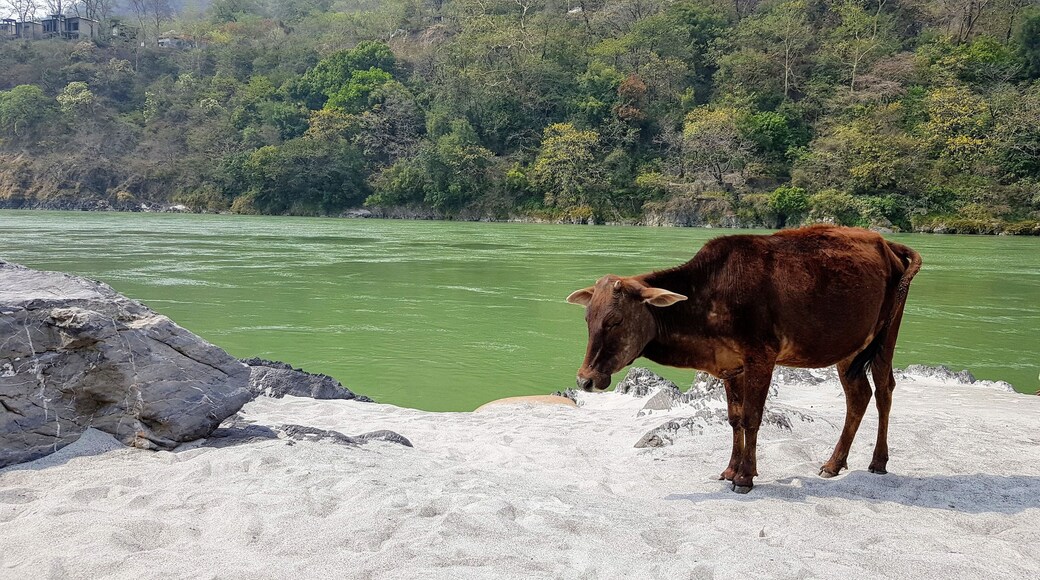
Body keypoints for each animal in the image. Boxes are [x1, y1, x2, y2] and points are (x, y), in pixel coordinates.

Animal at [566, 225, 922, 493]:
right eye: (587, 319)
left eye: (615, 320)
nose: (585, 378)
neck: (707, 301)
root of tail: (888, 244)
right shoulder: (730, 366)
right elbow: (735, 419)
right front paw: (729, 470)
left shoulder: (761, 356)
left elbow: (752, 417)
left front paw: (745, 477)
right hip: (849, 349)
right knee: (858, 396)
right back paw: (834, 464)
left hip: (886, 336)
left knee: (884, 391)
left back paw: (878, 461)